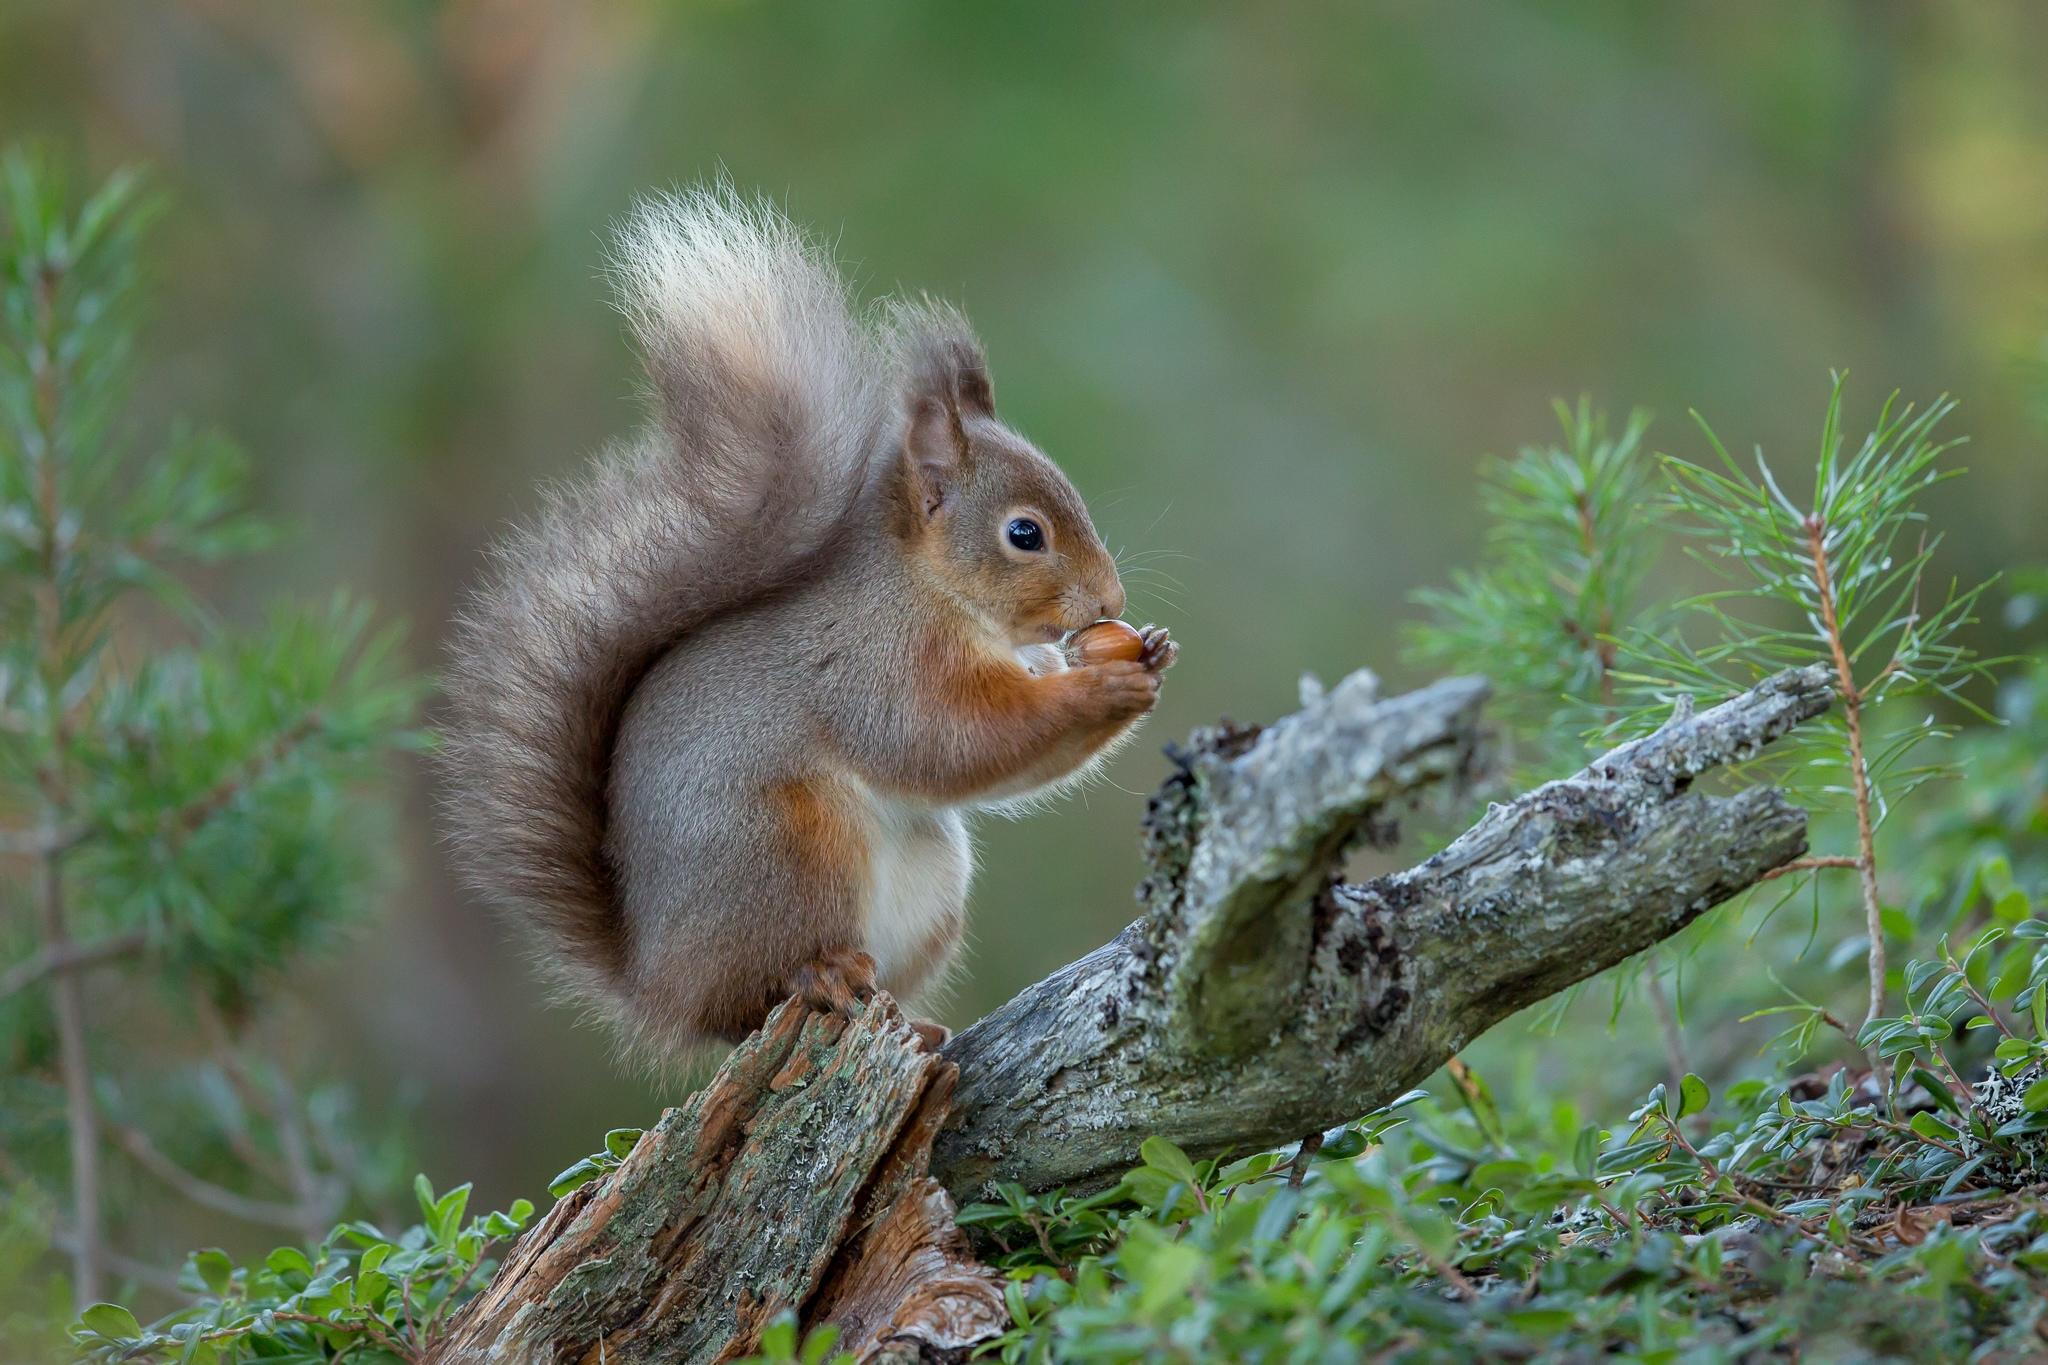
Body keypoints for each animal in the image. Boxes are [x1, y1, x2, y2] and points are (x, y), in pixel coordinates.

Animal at [440, 189, 1179, 1064]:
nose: (1109, 602)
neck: (933, 592)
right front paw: (1106, 685)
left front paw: (1151, 653)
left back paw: (913, 1021)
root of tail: (655, 981)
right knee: (746, 999)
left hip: (927, 882)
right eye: (1024, 533)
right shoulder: (874, 662)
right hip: (788, 848)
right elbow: (950, 740)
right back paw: (813, 974)